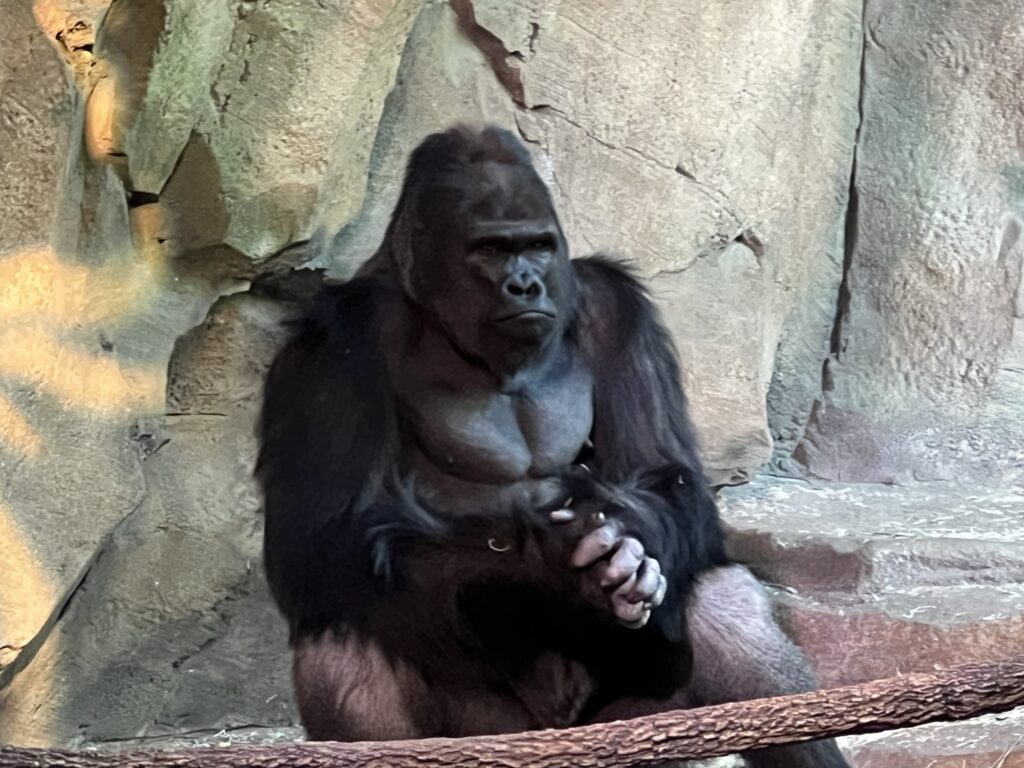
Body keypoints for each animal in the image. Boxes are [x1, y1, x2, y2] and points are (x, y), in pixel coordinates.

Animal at [256, 123, 847, 765]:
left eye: (538, 246)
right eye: (490, 250)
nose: (525, 285)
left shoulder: (616, 307)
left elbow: (664, 476)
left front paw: (624, 528)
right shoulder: (333, 345)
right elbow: (320, 537)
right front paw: (547, 568)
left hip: (625, 736)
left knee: (720, 600)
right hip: (491, 739)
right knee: (346, 626)